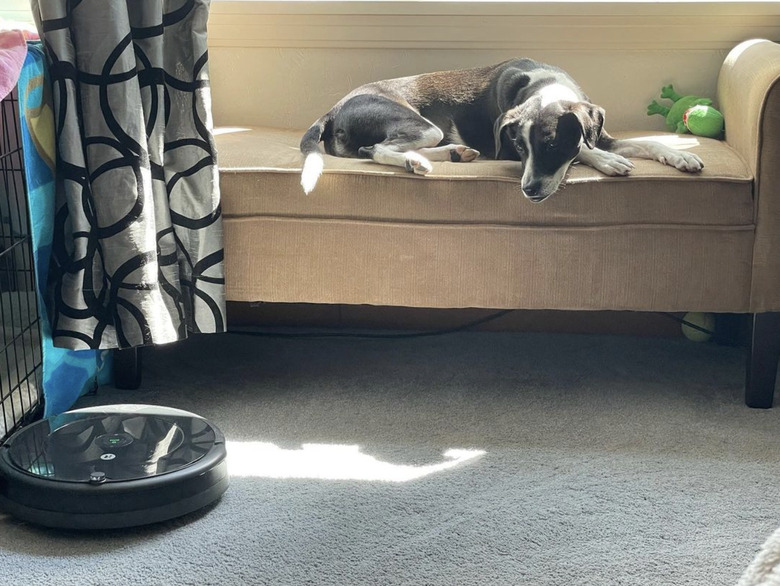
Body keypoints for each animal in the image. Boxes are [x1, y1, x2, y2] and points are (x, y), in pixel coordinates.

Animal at [298, 58, 700, 202]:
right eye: (520, 150)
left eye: (551, 146)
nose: (528, 191)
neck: (547, 87)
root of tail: (331, 110)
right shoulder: (506, 146)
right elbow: (588, 150)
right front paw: (606, 162)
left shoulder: (601, 131)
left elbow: (646, 143)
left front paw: (681, 155)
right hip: (420, 125)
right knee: (376, 150)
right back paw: (419, 163)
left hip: (431, 130)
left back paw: (455, 153)